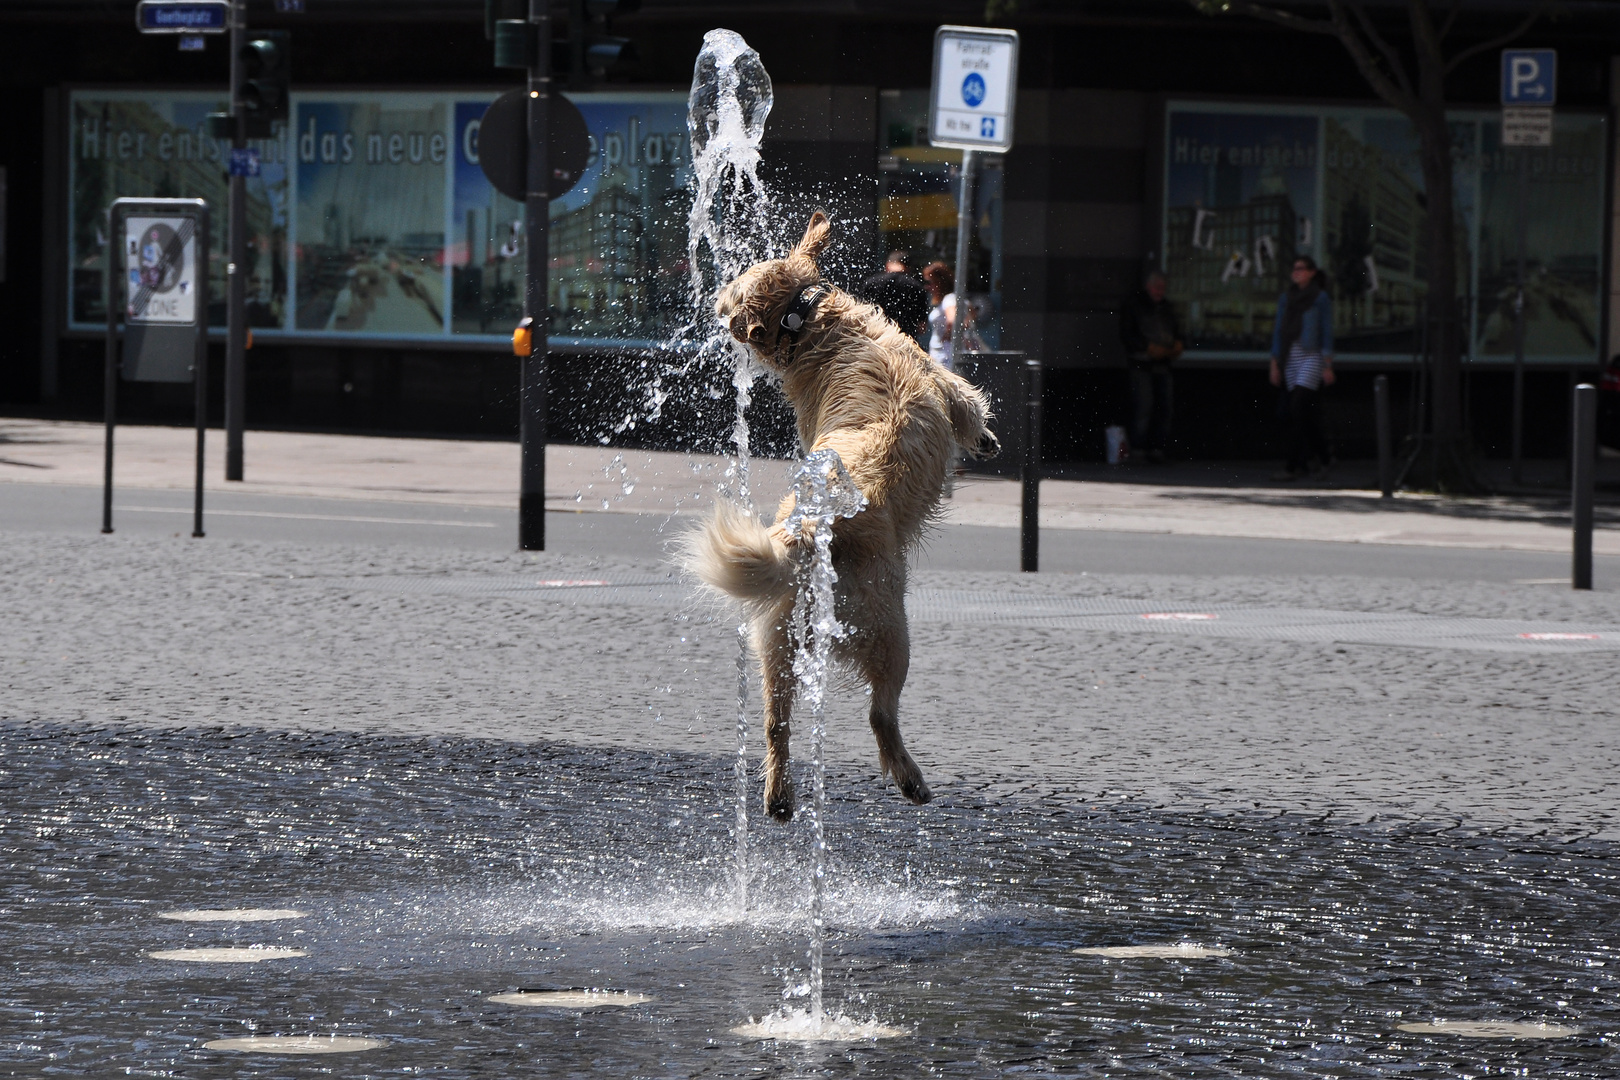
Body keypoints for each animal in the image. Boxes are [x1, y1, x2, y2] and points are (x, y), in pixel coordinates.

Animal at [683, 210, 997, 819]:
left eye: (733, 287)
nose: (712, 300)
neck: (810, 324)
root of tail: (808, 529)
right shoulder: (941, 379)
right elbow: (967, 401)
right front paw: (987, 438)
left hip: (776, 641)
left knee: (776, 723)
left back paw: (779, 797)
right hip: (891, 630)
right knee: (881, 712)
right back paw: (910, 779)